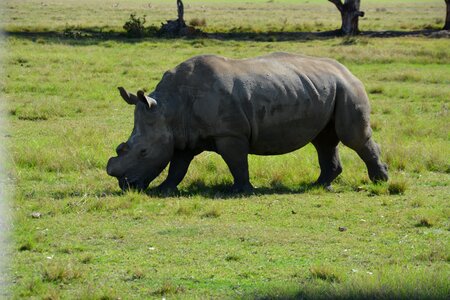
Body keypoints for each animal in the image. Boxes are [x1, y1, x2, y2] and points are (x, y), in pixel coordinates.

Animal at [107, 51, 388, 193]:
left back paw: (380, 181)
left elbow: (237, 163)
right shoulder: (183, 136)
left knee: (352, 138)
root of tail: (348, 71)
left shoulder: (230, 133)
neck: (169, 109)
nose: (126, 186)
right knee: (324, 141)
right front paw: (164, 190)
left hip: (348, 89)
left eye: (143, 152)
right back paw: (318, 186)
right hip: (324, 89)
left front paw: (242, 191)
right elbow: (178, 166)